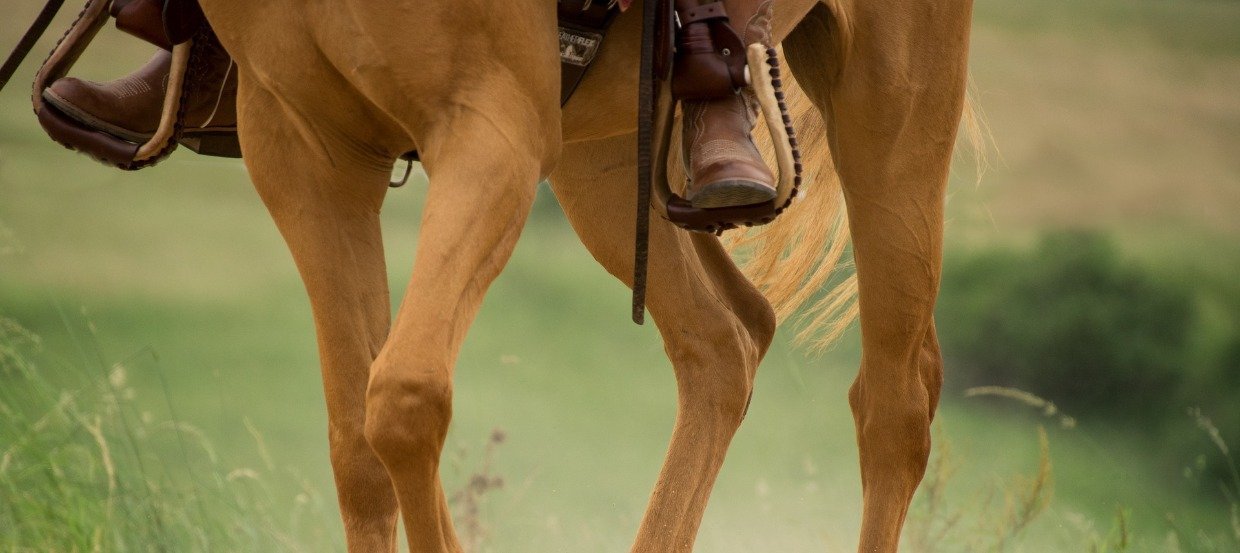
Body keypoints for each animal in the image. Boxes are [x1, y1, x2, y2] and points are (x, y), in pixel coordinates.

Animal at [193, 0, 972, 550]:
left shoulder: (492, 130)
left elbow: (405, 402)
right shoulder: (302, 145)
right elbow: (357, 447)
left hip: (893, 101)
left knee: (894, 406)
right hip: (608, 149)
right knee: (726, 340)